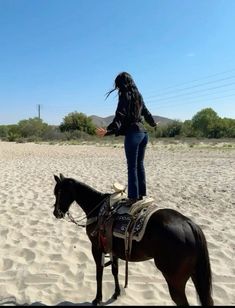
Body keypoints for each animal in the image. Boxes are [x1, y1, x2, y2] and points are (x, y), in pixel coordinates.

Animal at [52, 173, 213, 306]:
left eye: (58, 192)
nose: (56, 213)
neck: (97, 208)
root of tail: (189, 224)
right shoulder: (113, 249)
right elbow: (114, 270)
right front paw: (116, 293)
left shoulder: (97, 248)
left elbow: (99, 273)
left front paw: (97, 299)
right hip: (195, 275)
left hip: (175, 281)